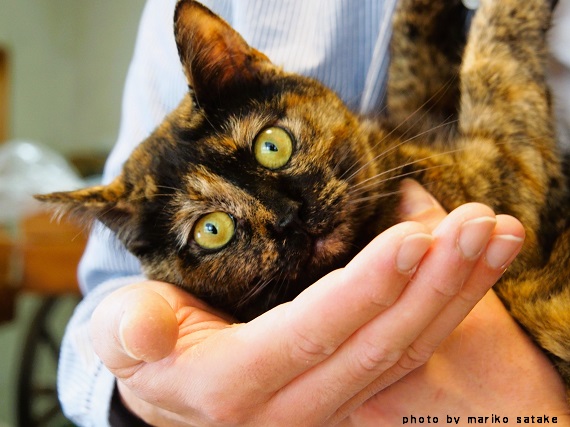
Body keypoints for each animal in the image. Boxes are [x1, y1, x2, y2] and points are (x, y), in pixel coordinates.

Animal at [37, 0, 564, 386]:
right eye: (213, 230)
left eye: (272, 145)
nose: (290, 217)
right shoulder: (508, 172)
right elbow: (490, 62)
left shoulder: (419, 112)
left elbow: (411, 57)